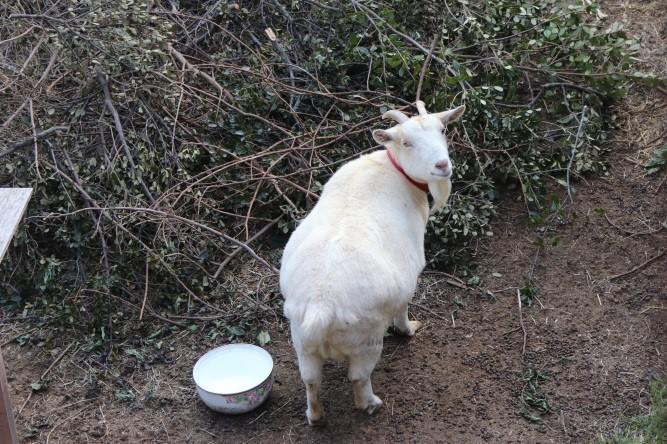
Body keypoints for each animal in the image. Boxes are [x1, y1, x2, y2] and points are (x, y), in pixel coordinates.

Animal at [280, 99, 464, 424]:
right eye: (406, 142)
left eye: (442, 130)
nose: (442, 166)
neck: (392, 168)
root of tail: (321, 306)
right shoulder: (408, 278)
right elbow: (403, 306)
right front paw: (408, 329)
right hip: (366, 338)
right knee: (358, 376)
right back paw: (370, 403)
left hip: (300, 337)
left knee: (311, 379)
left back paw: (315, 415)